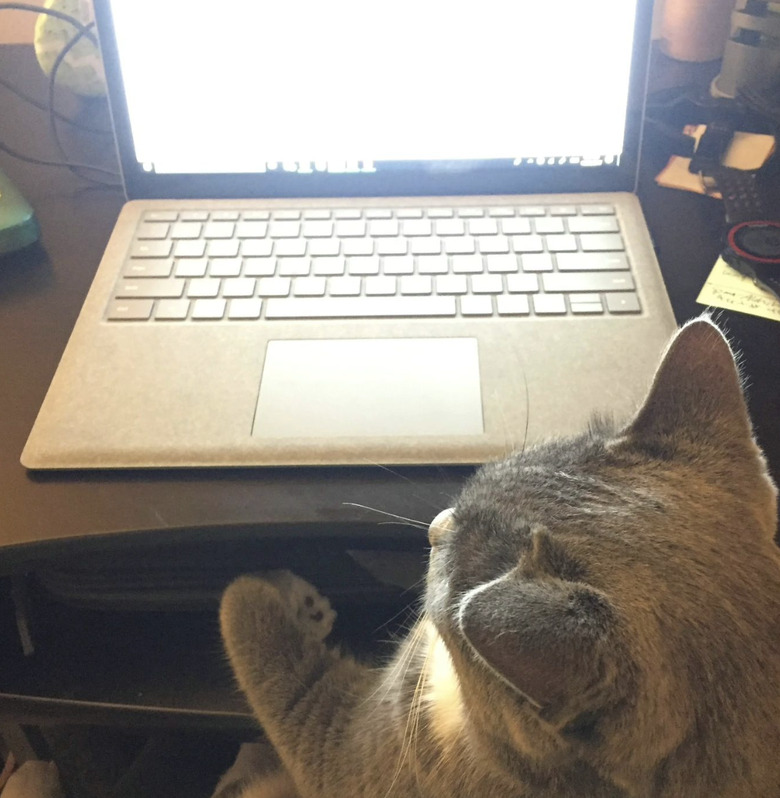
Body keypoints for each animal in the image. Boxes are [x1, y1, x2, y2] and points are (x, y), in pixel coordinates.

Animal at [219, 316, 780, 796]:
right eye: (477, 480)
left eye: (450, 579)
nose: (436, 527)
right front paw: (304, 602)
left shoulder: (346, 747)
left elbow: (254, 629)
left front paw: (273, 588)